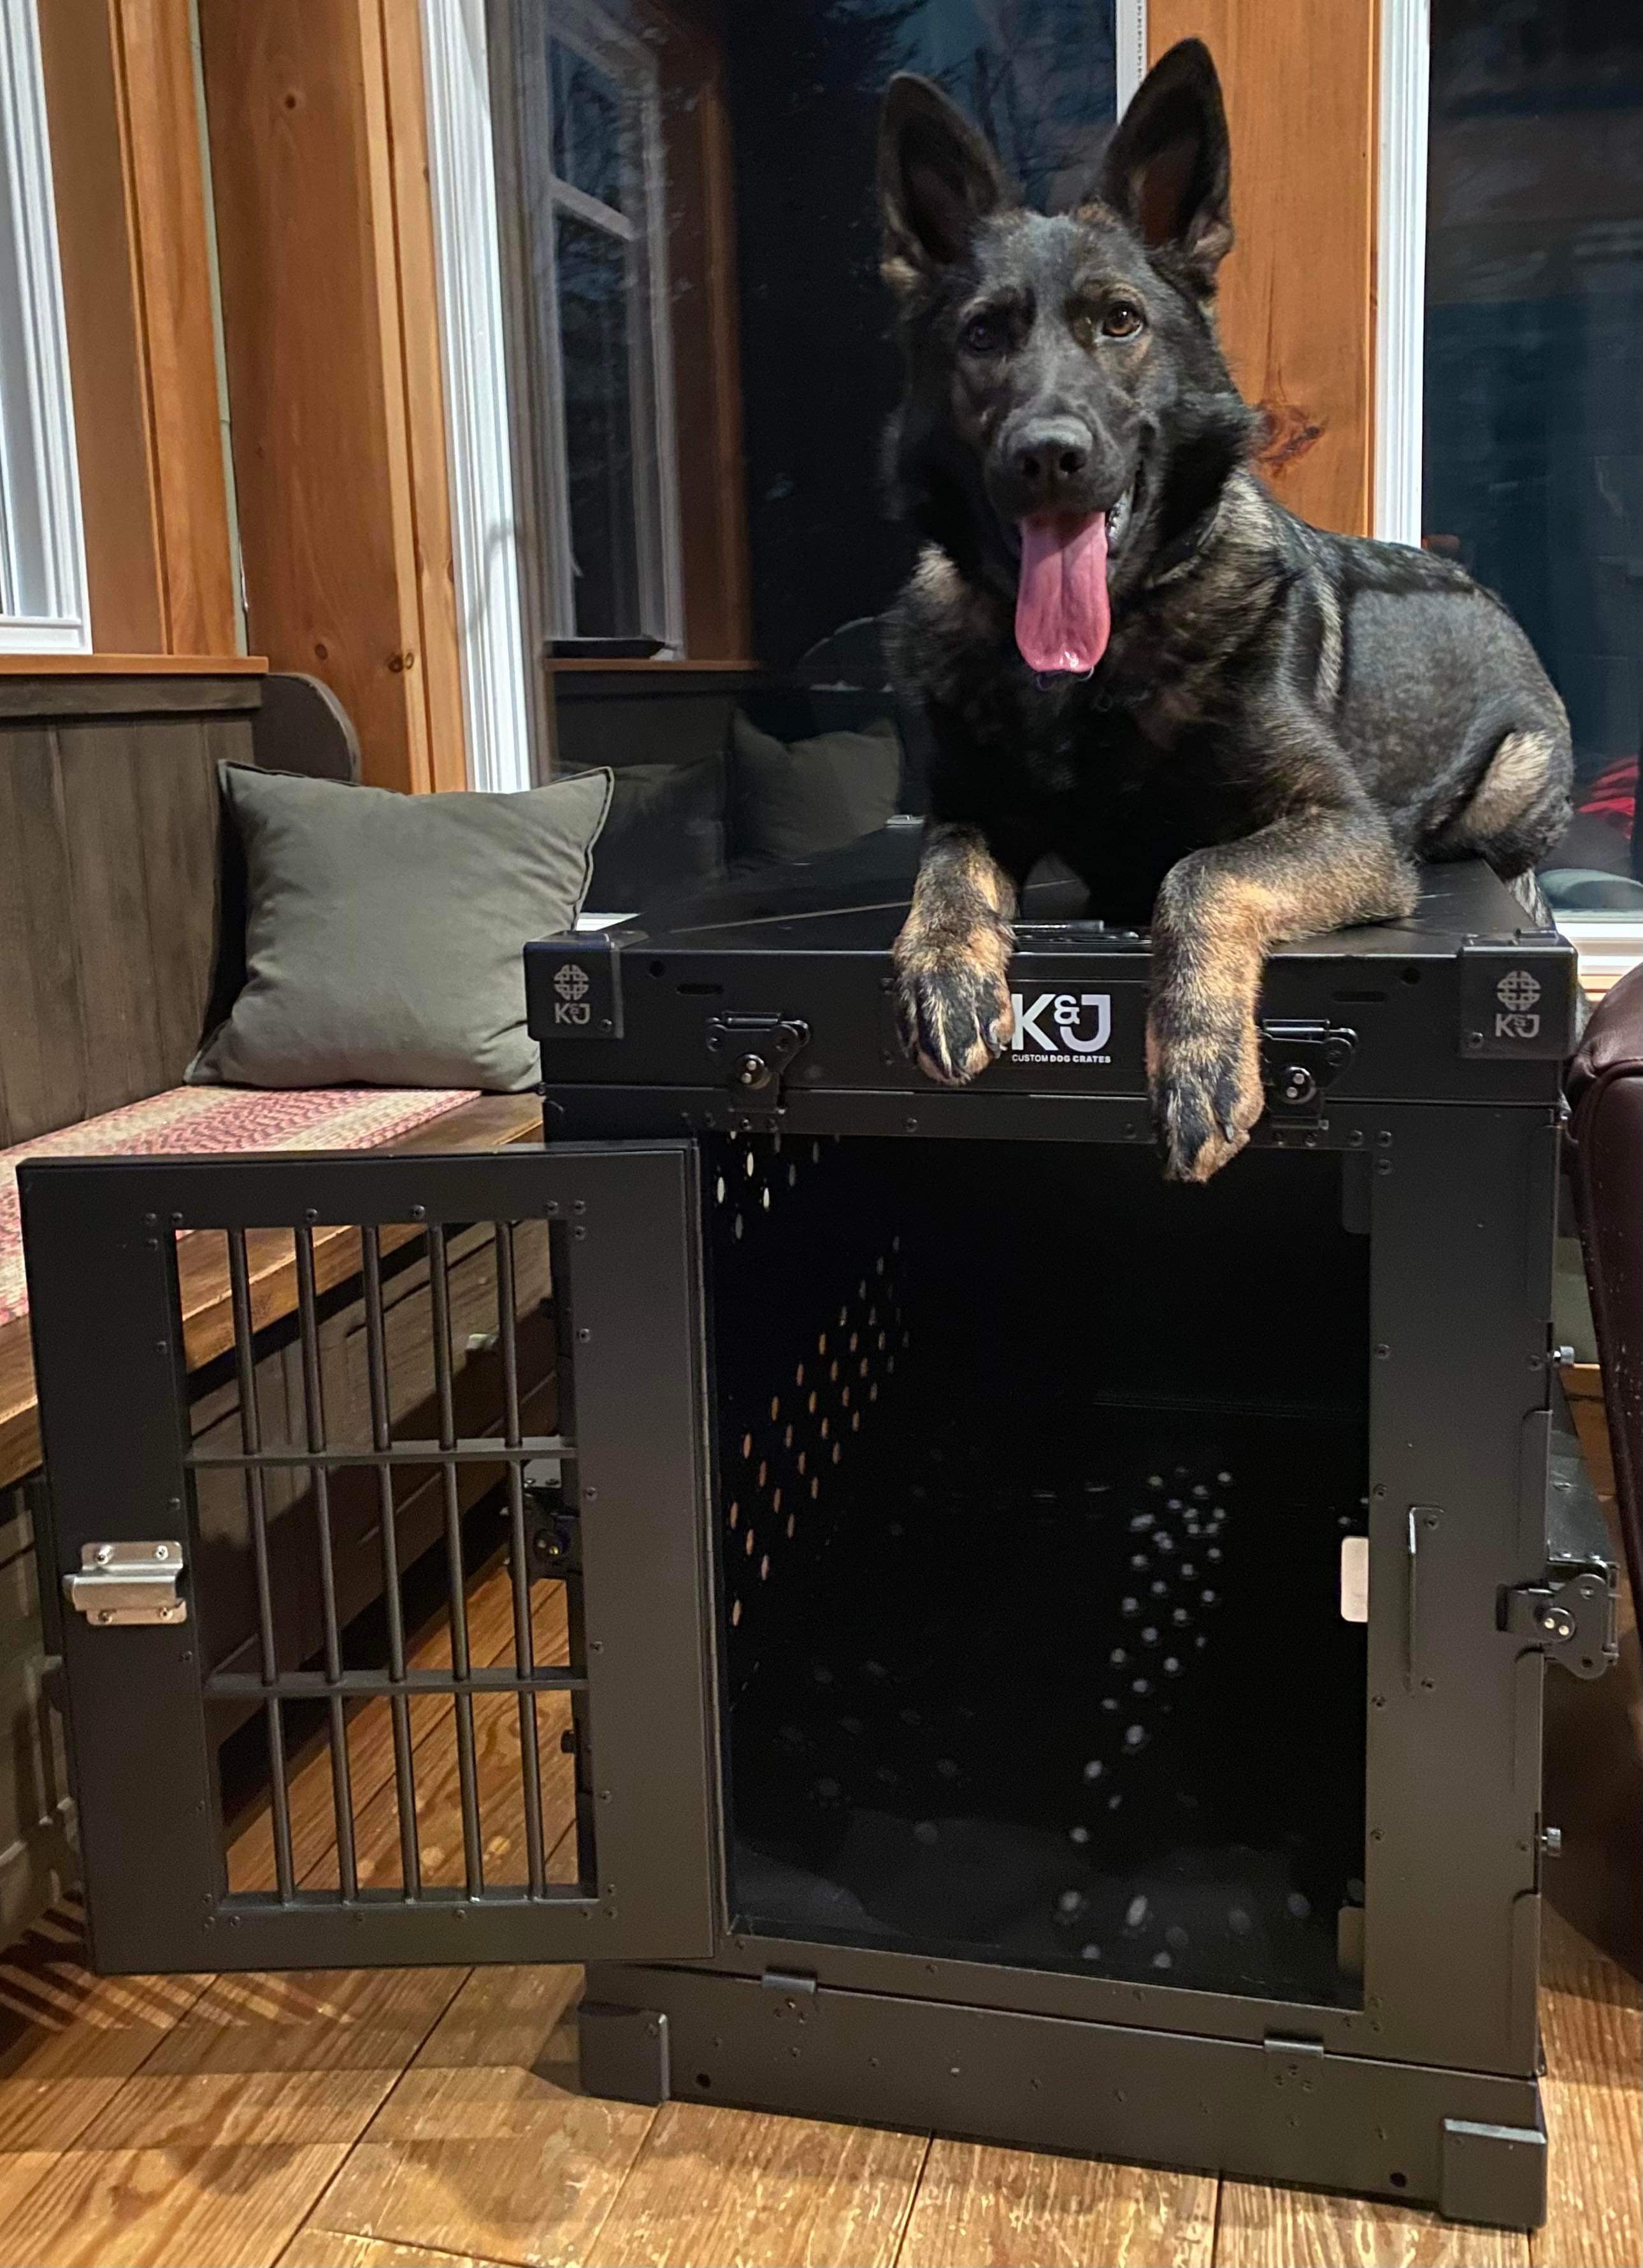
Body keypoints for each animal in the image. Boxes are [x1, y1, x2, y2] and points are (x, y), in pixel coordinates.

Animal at [880, 39, 1570, 1188]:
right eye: (982, 335)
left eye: (1118, 322)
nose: (1045, 454)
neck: (1095, 670)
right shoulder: (970, 807)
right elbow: (945, 866)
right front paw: (943, 968)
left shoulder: (1340, 829)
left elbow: (1197, 875)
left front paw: (1199, 1056)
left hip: (1506, 787)